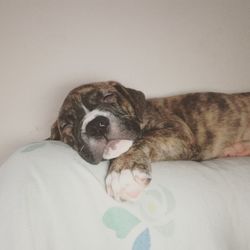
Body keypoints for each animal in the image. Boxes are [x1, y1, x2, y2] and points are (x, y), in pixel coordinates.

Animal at [49, 81, 250, 202]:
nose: (96, 126)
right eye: (67, 124)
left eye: (108, 96)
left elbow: (144, 139)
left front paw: (123, 172)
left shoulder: (179, 133)